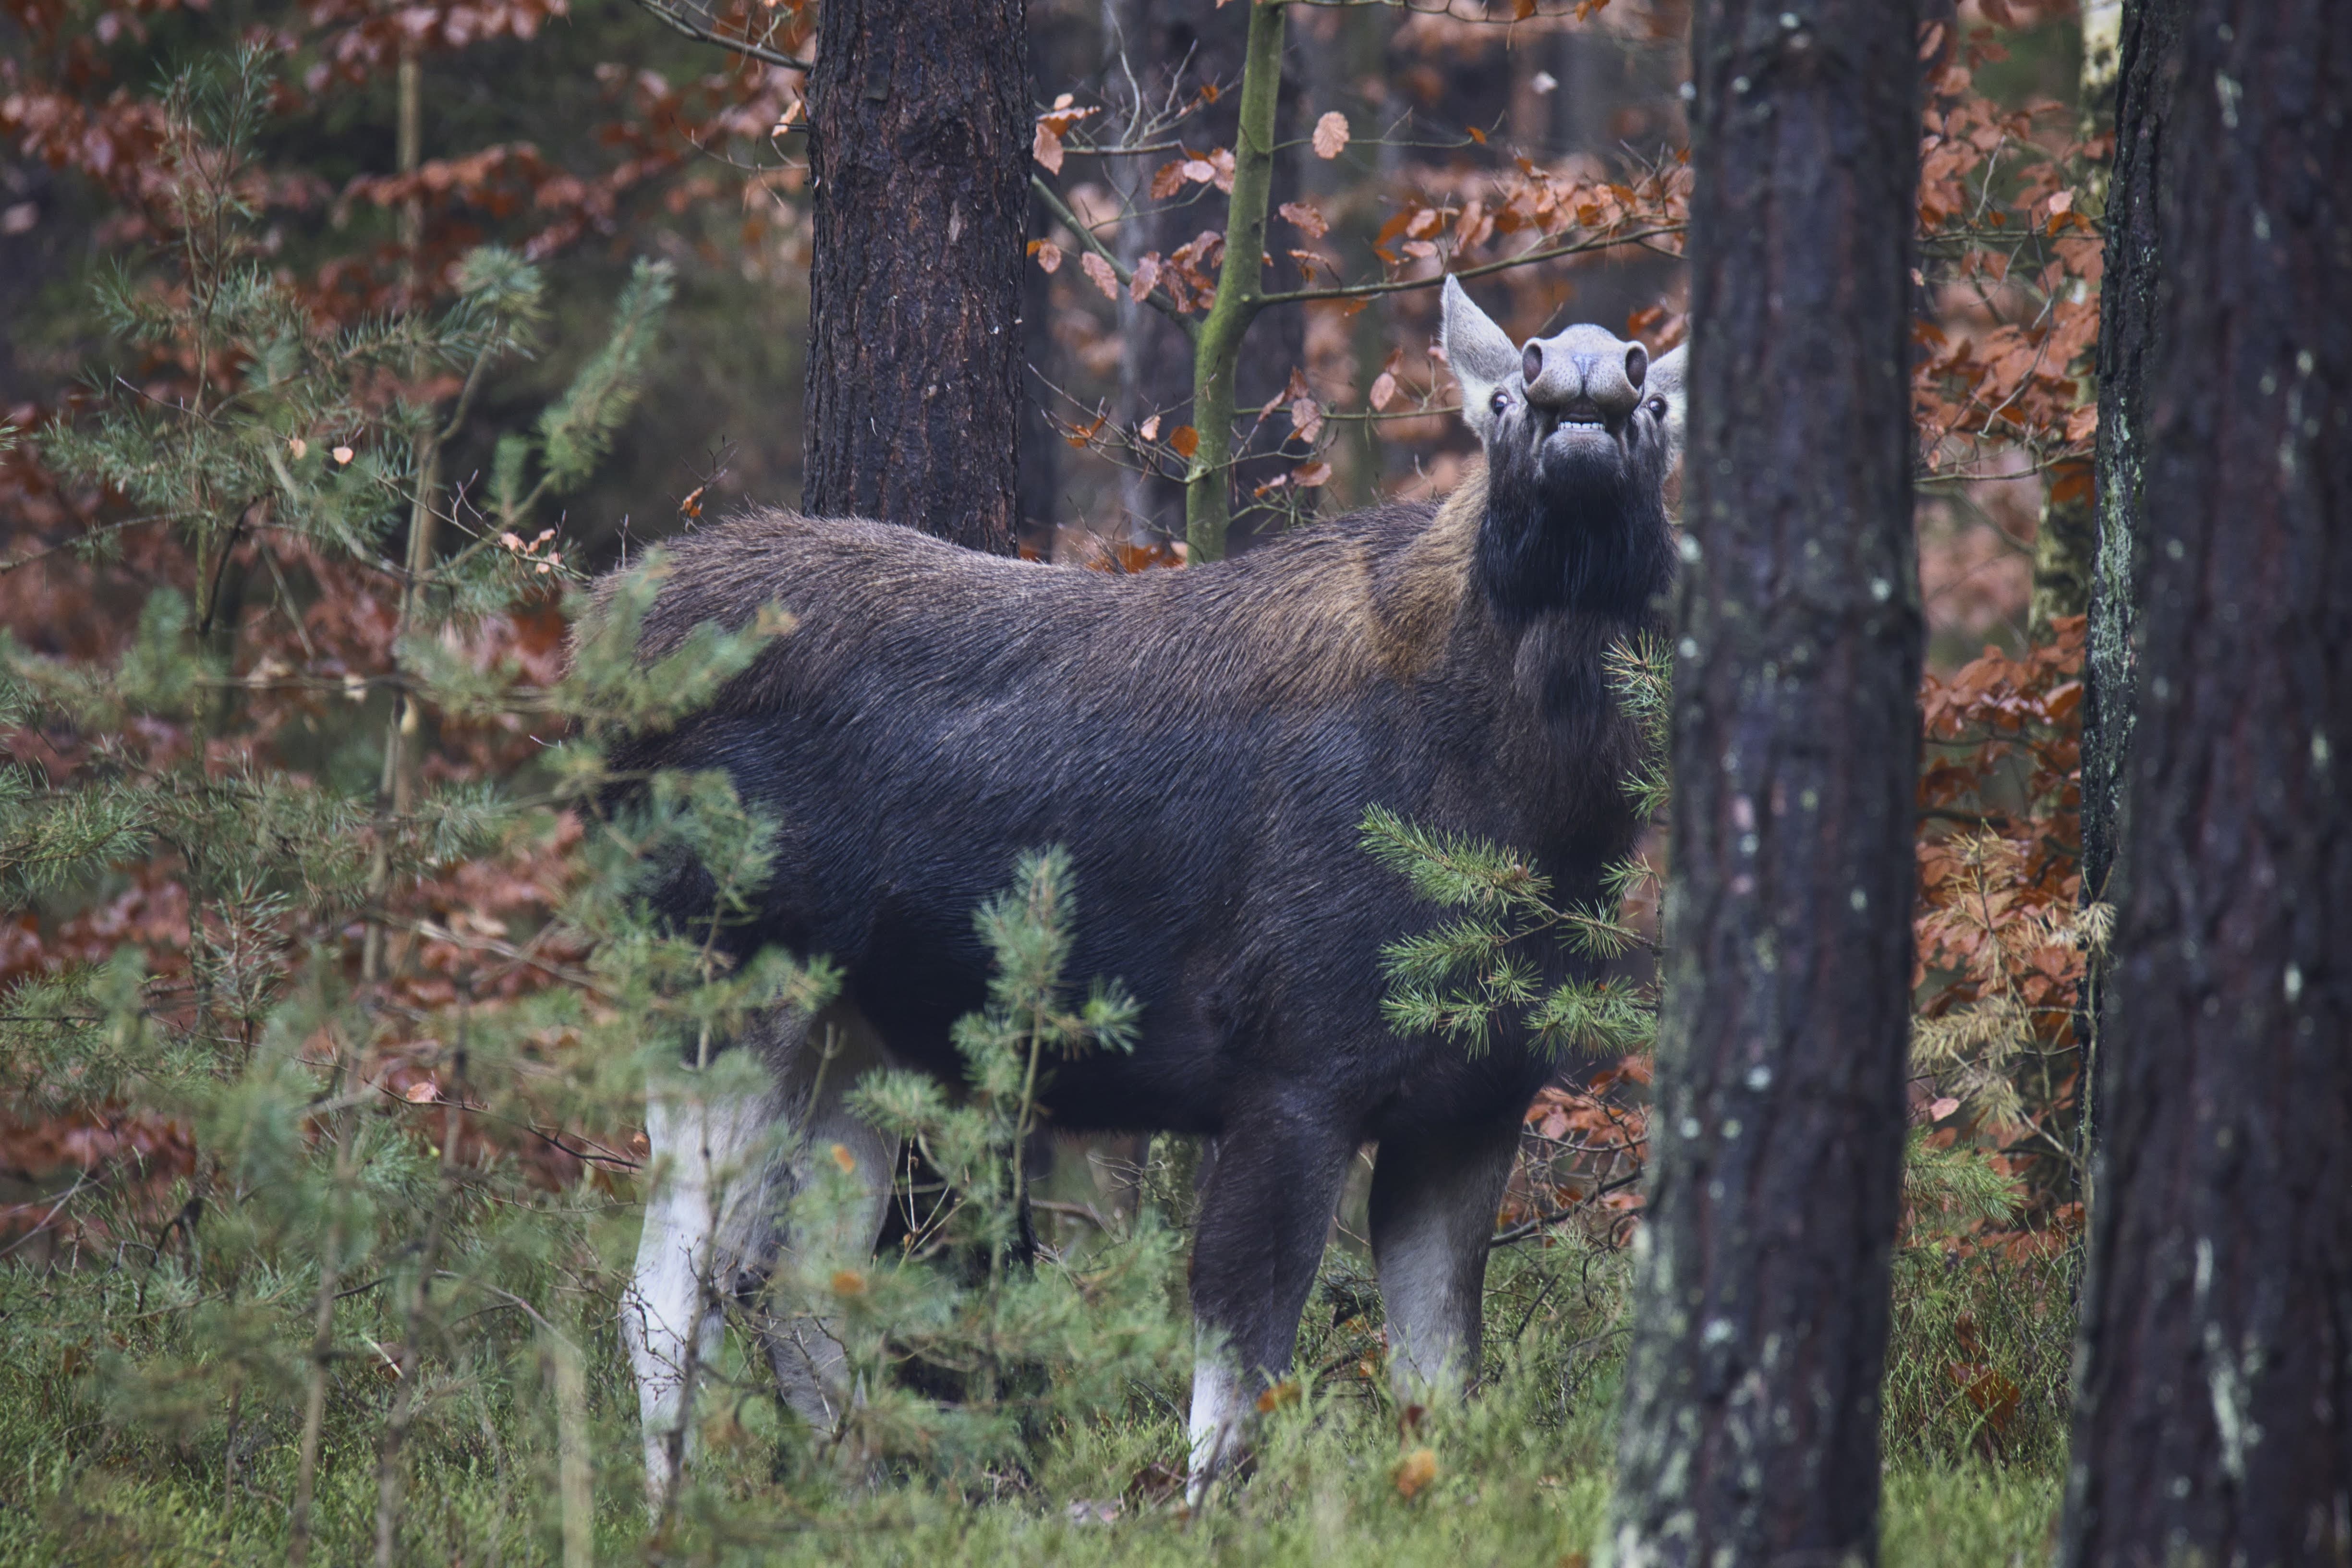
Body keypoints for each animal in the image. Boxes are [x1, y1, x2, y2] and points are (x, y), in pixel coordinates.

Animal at [606, 282, 1674, 1504]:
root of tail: (601, 639)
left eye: (1659, 400)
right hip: (719, 985)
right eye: (1498, 395)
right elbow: (1237, 1368)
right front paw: (1203, 1512)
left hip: (860, 1038)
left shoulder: (1473, 1100)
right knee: (663, 1292)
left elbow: (1439, 1385)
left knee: (795, 1288)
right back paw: (672, 1510)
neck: (1525, 822)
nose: (1579, 371)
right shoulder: (1292, 1069)